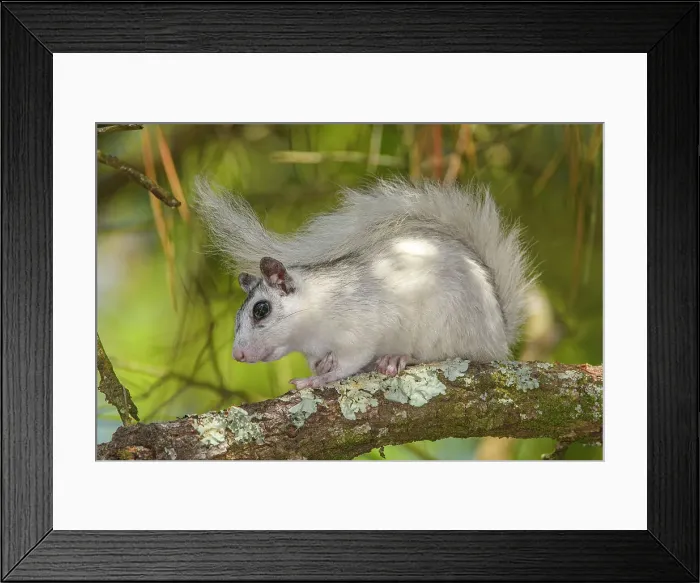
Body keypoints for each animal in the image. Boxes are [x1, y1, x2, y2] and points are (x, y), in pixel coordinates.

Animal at [193, 176, 536, 390]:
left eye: (261, 310)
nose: (238, 355)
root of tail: (498, 338)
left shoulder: (360, 329)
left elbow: (349, 364)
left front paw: (318, 380)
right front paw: (321, 368)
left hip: (445, 327)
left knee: (444, 355)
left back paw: (399, 357)